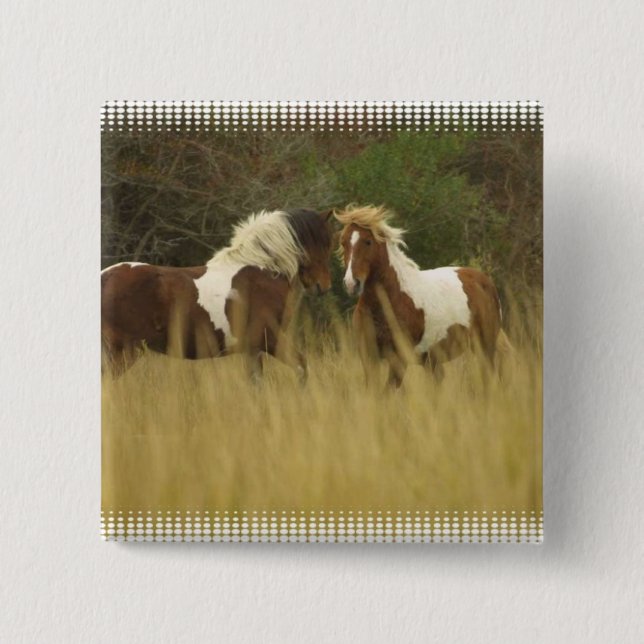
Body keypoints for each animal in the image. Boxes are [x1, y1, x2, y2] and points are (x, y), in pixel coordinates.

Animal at [101, 208, 334, 378]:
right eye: (324, 243)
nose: (323, 286)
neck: (262, 270)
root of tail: (105, 276)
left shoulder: (253, 349)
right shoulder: (269, 338)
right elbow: (301, 367)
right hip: (124, 352)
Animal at [335, 205, 502, 387]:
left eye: (368, 241)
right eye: (343, 242)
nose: (352, 283)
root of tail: (485, 281)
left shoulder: (399, 358)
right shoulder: (368, 357)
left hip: (485, 348)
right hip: (433, 361)